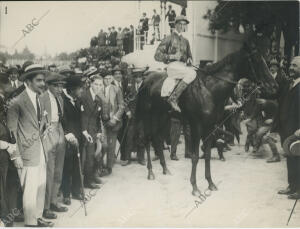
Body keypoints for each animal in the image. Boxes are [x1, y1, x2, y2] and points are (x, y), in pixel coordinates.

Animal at [135, 35, 278, 196]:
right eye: (257, 59)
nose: (274, 85)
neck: (208, 89)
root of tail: (145, 81)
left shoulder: (210, 127)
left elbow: (208, 155)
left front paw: (210, 183)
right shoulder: (196, 127)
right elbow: (195, 156)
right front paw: (195, 187)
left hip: (162, 117)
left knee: (157, 139)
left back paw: (165, 168)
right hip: (148, 117)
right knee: (147, 139)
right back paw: (150, 172)